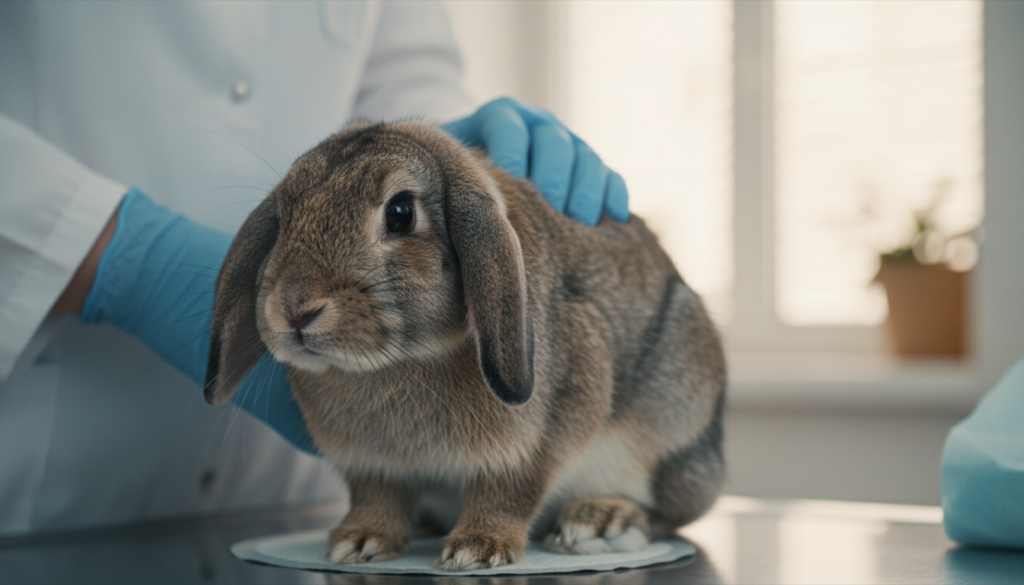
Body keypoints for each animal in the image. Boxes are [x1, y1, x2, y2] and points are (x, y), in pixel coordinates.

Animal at [204, 120, 726, 571]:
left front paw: (479, 549)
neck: (397, 360)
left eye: (400, 213)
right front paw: (359, 540)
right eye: (281, 215)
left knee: (669, 514)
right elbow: (376, 495)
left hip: (671, 431)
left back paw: (601, 521)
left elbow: (510, 490)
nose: (294, 309)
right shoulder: (369, 465)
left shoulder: (539, 439)